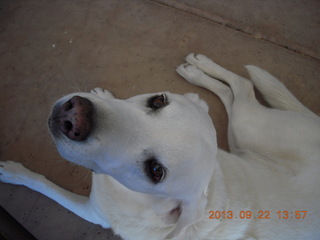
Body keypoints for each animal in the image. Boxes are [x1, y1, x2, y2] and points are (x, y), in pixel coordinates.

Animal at [0, 54, 320, 240]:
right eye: (158, 100)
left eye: (155, 171)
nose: (74, 116)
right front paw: (105, 94)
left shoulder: (94, 212)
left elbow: (42, 183)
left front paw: (11, 172)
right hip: (238, 135)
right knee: (234, 90)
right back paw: (197, 68)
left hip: (248, 126)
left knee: (243, 85)